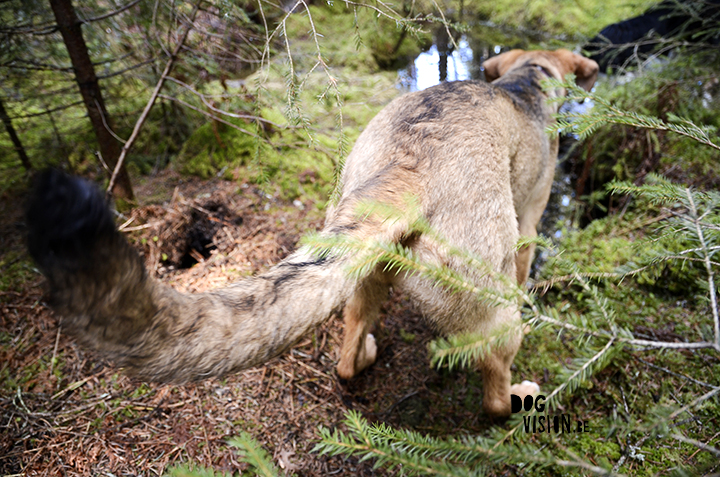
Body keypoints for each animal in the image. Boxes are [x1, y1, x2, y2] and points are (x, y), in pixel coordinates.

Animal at [26, 48, 596, 416]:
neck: (528, 78)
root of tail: (410, 165)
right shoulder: (531, 219)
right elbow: (526, 262)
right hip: (491, 310)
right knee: (493, 391)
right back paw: (520, 399)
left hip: (362, 272)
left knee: (346, 355)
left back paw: (363, 356)